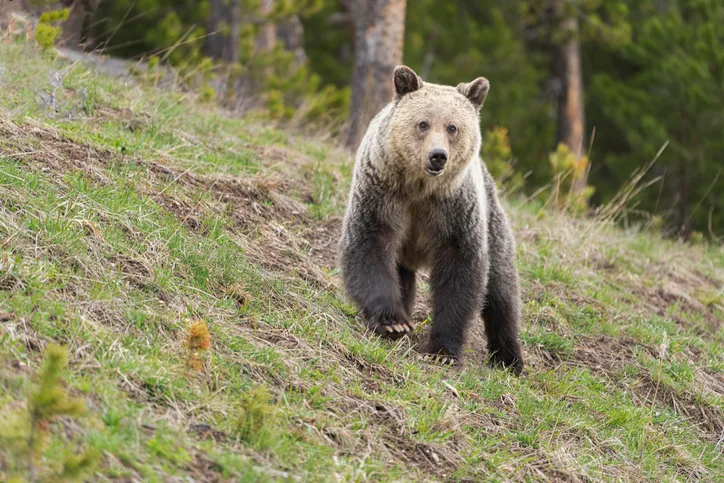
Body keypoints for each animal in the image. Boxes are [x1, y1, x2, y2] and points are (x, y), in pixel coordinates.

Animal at [339, 65, 524, 373]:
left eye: (452, 127)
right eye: (423, 123)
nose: (438, 156)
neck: (419, 187)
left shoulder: (454, 209)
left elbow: (461, 269)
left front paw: (443, 350)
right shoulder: (381, 192)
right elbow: (370, 244)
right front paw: (393, 323)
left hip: (493, 220)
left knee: (501, 291)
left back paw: (510, 358)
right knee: (402, 275)